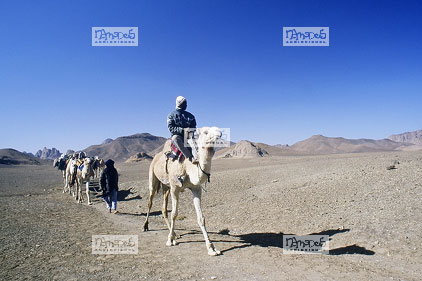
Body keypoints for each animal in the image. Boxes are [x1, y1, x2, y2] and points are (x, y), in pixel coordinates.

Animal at [143, 126, 223, 255]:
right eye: (206, 132)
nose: (219, 133)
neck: (189, 167)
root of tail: (156, 157)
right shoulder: (175, 188)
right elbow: (174, 214)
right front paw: (170, 241)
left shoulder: (196, 189)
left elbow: (201, 218)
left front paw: (211, 248)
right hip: (153, 179)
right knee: (150, 202)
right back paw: (146, 226)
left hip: (166, 187)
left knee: (164, 209)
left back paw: (175, 234)